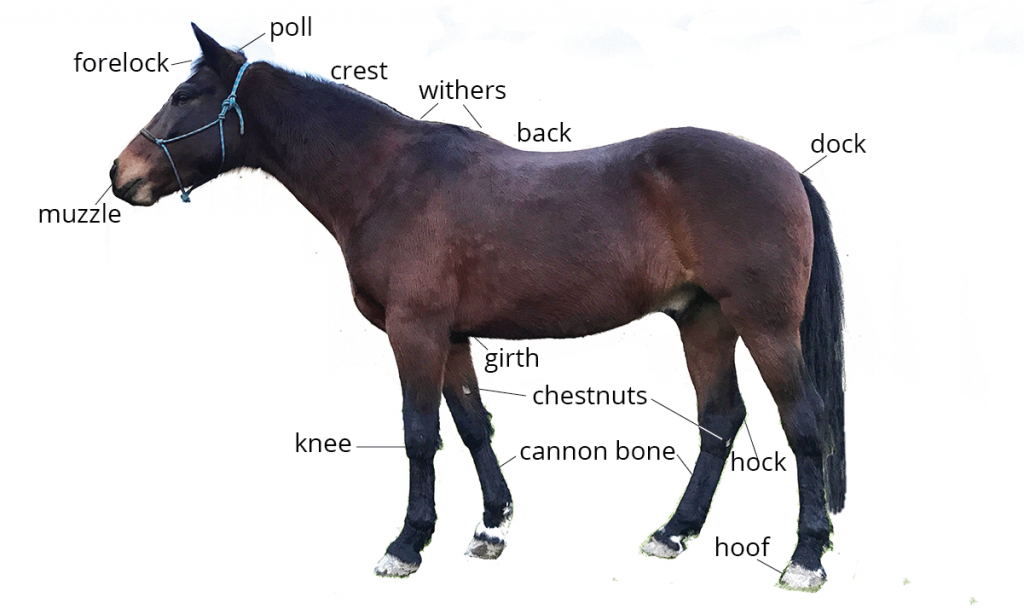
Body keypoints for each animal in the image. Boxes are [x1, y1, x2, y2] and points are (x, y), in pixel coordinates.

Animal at [110, 24, 845, 590]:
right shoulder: (453, 336)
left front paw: (407, 544)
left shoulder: (414, 331)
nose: (121, 174)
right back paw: (673, 531)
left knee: (803, 424)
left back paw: (806, 557)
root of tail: (786, 171)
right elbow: (472, 427)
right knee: (721, 418)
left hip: (764, 325)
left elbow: (419, 433)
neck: (386, 179)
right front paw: (491, 526)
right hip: (704, 320)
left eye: (184, 95)